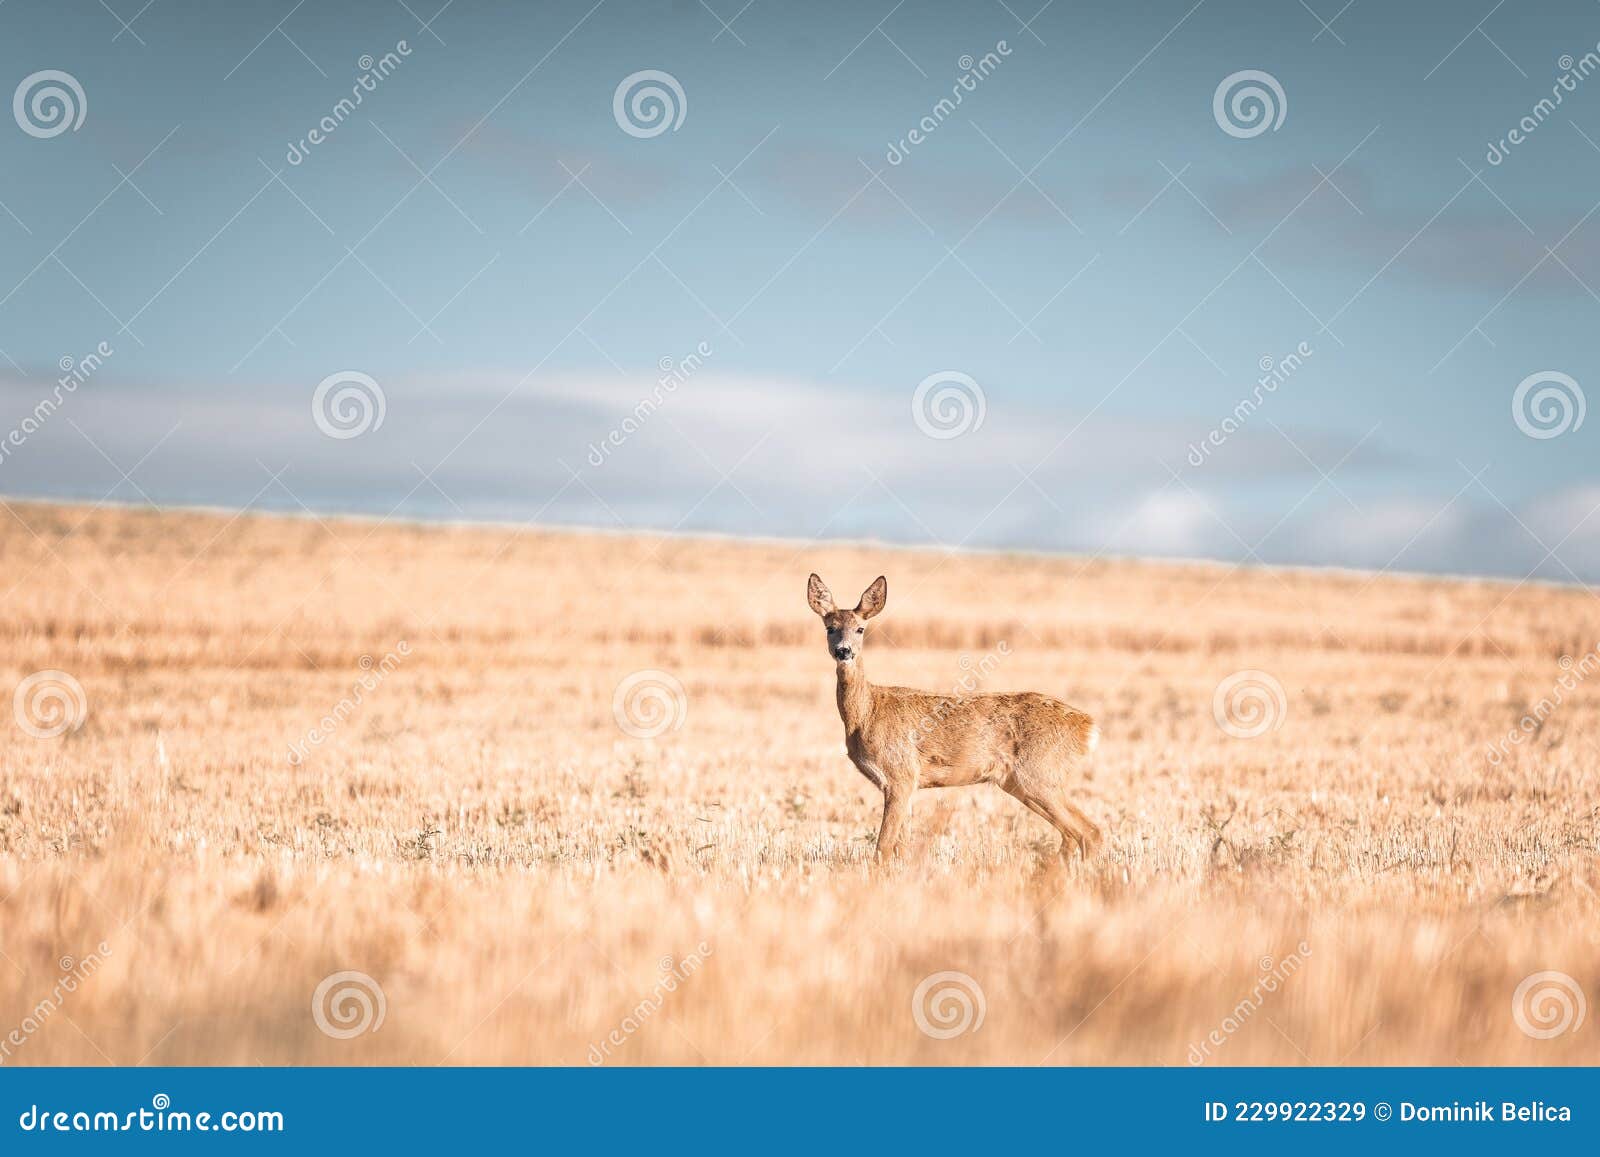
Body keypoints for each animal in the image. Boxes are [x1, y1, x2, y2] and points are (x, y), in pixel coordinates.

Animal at [806, 576, 1107, 864]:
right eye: (829, 628)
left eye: (860, 629)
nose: (844, 651)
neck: (867, 712)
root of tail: (1087, 726)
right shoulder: (905, 784)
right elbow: (900, 848)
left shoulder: (901, 774)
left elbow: (883, 847)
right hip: (1021, 782)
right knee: (1072, 835)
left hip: (1040, 773)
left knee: (1089, 831)